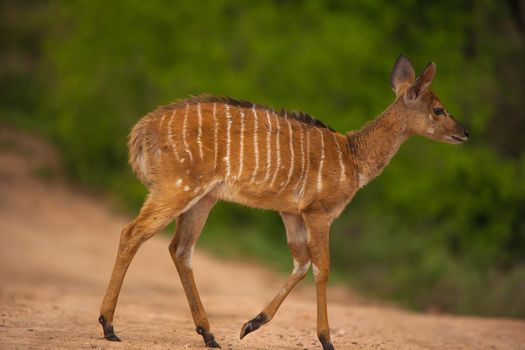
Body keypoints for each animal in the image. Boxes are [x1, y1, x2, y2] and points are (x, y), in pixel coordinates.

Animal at [100, 56, 468, 348]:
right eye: (438, 109)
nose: (464, 133)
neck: (353, 158)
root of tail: (140, 132)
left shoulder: (291, 212)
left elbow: (300, 263)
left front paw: (250, 325)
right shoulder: (319, 212)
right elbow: (322, 267)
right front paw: (326, 340)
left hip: (203, 198)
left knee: (180, 249)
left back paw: (209, 335)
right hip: (178, 188)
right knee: (133, 232)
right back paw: (109, 326)